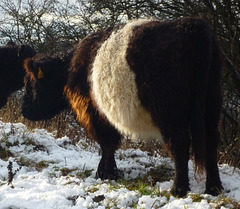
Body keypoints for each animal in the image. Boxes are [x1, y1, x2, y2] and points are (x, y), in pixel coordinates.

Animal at [21, 16, 223, 198]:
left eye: (31, 83)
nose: (23, 110)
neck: (71, 68)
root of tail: (192, 25)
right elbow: (108, 144)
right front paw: (104, 172)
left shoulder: (94, 112)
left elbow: (107, 143)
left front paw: (107, 174)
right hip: (211, 104)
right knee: (211, 141)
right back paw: (213, 188)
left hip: (170, 110)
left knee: (179, 143)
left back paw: (178, 189)